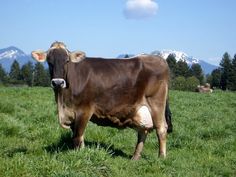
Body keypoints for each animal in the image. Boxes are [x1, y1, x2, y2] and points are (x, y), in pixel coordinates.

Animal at [31, 41, 171, 160]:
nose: (58, 82)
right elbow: (78, 137)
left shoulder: (84, 110)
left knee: (161, 128)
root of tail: (158, 59)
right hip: (140, 109)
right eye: (49, 61)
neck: (63, 102)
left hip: (156, 103)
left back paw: (161, 157)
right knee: (143, 131)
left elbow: (77, 136)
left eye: (66, 61)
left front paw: (80, 156)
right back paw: (135, 158)